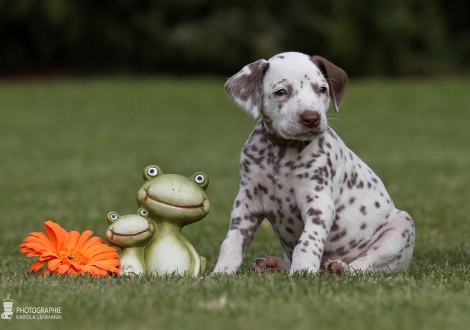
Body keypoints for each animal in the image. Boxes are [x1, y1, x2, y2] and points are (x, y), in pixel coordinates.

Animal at [213, 51, 414, 274]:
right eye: (281, 92)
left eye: (322, 89)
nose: (312, 118)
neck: (281, 153)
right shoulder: (247, 202)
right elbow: (232, 242)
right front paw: (220, 273)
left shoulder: (318, 202)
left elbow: (308, 241)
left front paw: (302, 272)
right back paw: (275, 266)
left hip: (402, 227)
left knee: (364, 265)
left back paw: (339, 267)